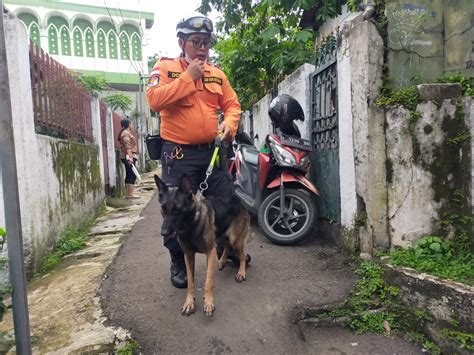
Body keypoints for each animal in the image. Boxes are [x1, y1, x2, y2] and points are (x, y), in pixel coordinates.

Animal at [156, 175, 252, 318]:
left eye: (177, 209)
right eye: (163, 209)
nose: (164, 233)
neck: (190, 226)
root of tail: (237, 200)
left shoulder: (210, 252)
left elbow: (208, 282)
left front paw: (208, 303)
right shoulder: (188, 255)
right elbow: (190, 282)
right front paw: (189, 302)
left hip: (235, 240)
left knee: (242, 256)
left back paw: (241, 272)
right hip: (220, 237)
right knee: (227, 246)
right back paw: (222, 261)